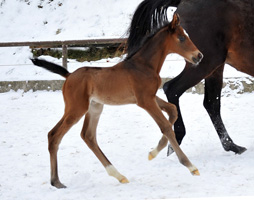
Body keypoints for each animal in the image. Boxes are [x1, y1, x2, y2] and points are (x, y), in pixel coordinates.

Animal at [31, 13, 202, 188]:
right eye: (181, 38)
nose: (199, 56)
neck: (144, 66)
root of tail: (69, 75)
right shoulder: (145, 101)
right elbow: (166, 126)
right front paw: (191, 166)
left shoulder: (150, 97)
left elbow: (172, 110)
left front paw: (152, 153)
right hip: (76, 109)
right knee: (54, 135)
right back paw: (56, 181)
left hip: (94, 107)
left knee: (88, 136)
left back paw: (118, 175)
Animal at [127, 0, 254, 155]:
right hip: (205, 63)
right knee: (172, 88)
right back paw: (177, 138)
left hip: (214, 67)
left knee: (211, 103)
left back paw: (231, 146)